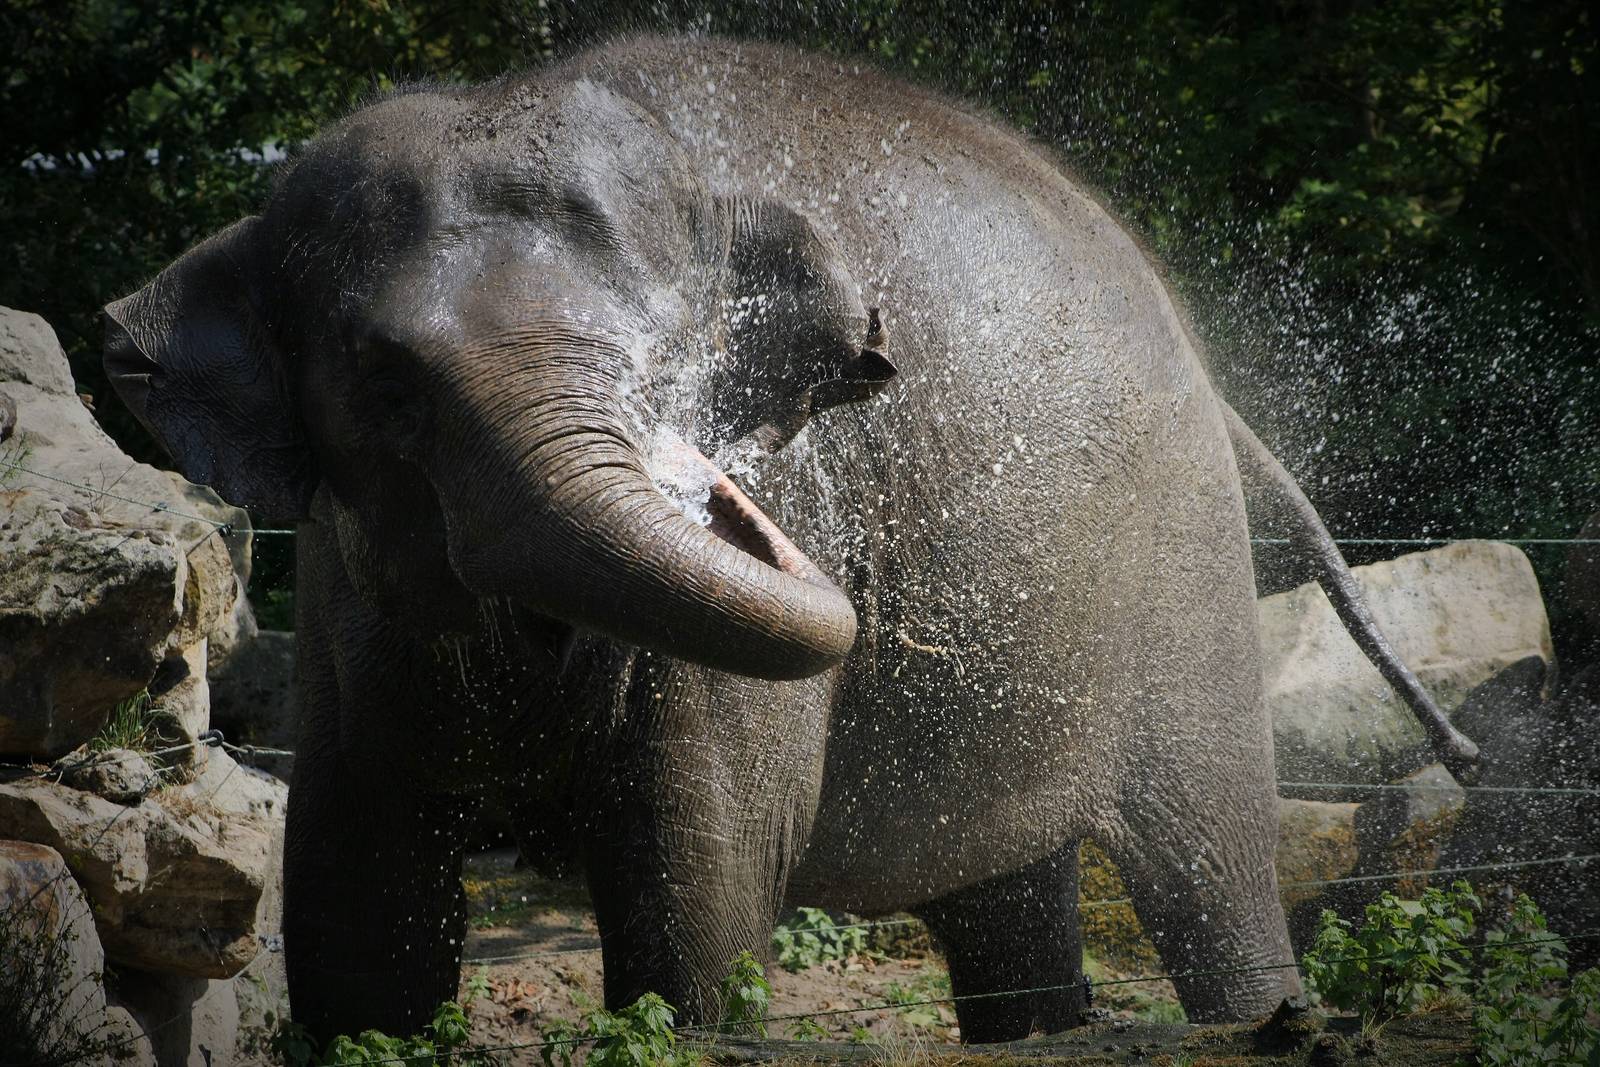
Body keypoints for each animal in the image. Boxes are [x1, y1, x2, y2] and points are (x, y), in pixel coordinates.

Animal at [103, 36, 1480, 1044]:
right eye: (385, 379)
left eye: (671, 366)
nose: (712, 491)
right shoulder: (347, 593)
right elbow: (357, 905)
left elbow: (695, 891)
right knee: (1006, 898)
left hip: (1182, 577)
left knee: (1213, 870)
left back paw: (1277, 1018)